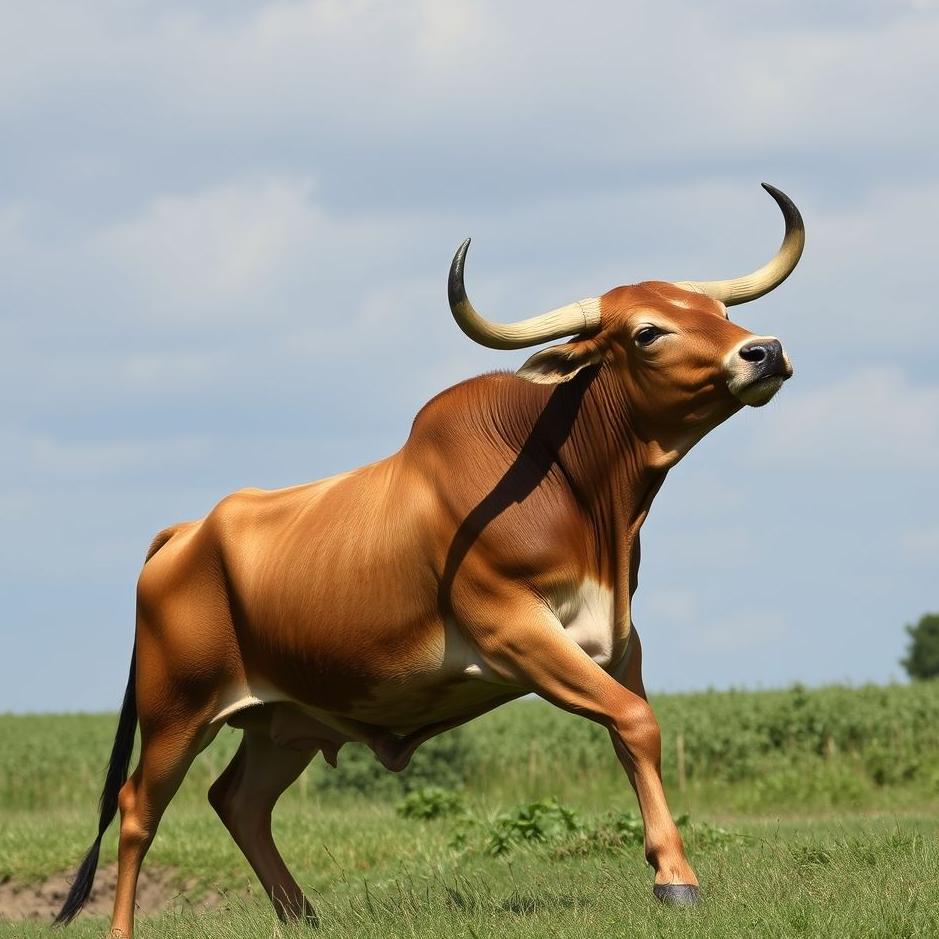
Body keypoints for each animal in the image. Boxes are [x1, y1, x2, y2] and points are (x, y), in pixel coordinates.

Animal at [56, 183, 803, 937]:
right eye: (648, 332)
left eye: (718, 313)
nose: (763, 351)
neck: (576, 491)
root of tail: (187, 531)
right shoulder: (516, 633)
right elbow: (634, 720)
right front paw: (675, 877)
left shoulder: (620, 640)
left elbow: (634, 732)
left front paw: (668, 866)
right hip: (177, 710)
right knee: (137, 808)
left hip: (282, 720)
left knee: (239, 800)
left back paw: (303, 915)